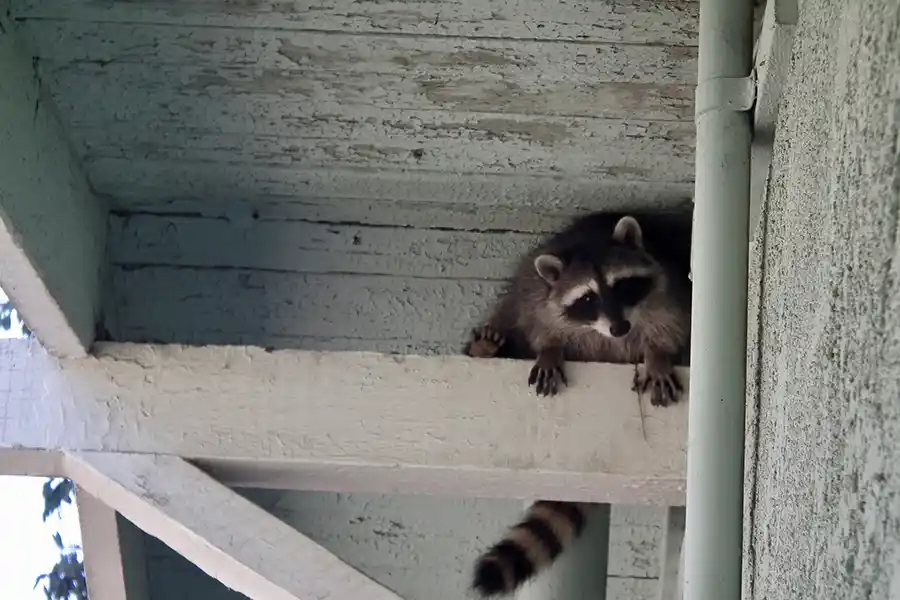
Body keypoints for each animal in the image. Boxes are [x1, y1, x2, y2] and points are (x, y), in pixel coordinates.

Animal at [465, 211, 692, 404]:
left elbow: (671, 320)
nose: (619, 328)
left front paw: (658, 353)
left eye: (621, 286)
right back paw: (484, 346)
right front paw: (549, 347)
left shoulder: (667, 286)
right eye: (588, 299)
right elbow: (538, 317)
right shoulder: (538, 293)